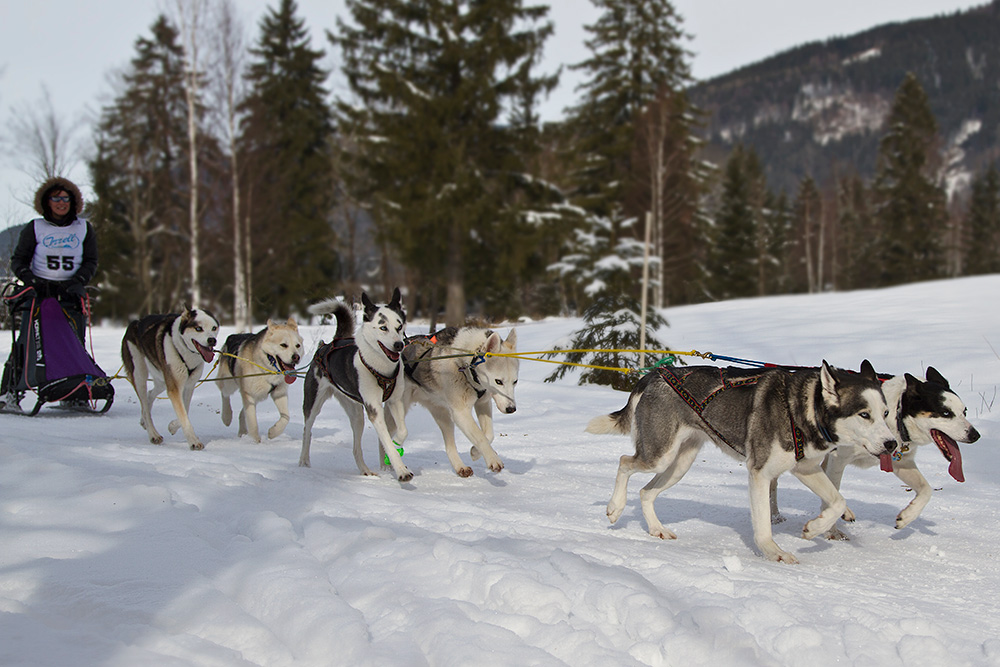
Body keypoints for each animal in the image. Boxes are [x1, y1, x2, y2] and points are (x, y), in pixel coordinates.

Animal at [121, 310, 219, 452]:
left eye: (214, 328)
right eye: (198, 328)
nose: (212, 340)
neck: (184, 350)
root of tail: (135, 322)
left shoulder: (189, 385)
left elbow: (185, 410)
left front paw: (172, 426)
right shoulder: (174, 388)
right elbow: (183, 415)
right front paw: (194, 442)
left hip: (162, 381)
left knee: (149, 396)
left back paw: (144, 418)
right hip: (139, 375)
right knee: (144, 402)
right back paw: (153, 433)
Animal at [296, 290, 410, 482]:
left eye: (399, 326)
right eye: (383, 327)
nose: (399, 345)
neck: (381, 367)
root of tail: (331, 343)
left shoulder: (395, 401)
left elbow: (402, 431)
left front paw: (396, 443)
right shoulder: (375, 409)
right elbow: (386, 440)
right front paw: (402, 470)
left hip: (357, 415)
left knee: (356, 448)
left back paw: (365, 470)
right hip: (313, 403)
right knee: (307, 431)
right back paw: (303, 462)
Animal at [396, 328, 520, 474]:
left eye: (515, 381)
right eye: (498, 381)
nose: (511, 408)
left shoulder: (483, 403)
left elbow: (489, 435)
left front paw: (475, 452)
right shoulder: (461, 413)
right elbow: (480, 437)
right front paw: (492, 459)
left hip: (444, 417)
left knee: (450, 446)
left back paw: (460, 466)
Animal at [584, 360, 900, 564]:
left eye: (886, 413)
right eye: (864, 414)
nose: (892, 444)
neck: (802, 407)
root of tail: (654, 375)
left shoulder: (805, 468)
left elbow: (837, 501)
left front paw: (815, 527)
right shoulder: (760, 473)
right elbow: (762, 525)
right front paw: (773, 552)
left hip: (679, 464)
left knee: (645, 492)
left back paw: (656, 528)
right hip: (659, 455)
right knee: (624, 462)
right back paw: (615, 507)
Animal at [808, 368, 980, 536]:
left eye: (965, 411)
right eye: (946, 413)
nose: (975, 435)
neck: (895, 415)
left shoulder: (902, 464)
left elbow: (926, 489)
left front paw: (908, 516)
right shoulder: (838, 458)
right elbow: (833, 491)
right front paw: (830, 530)